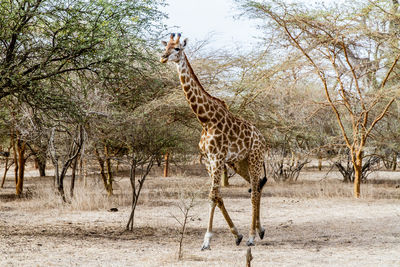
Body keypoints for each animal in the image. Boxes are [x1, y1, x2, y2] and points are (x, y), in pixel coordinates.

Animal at [161, 34, 268, 251]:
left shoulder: (217, 158)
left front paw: (207, 241)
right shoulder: (209, 160)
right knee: (257, 186)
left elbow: (212, 196)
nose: (163, 57)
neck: (205, 119)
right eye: (165, 46)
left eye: (177, 48)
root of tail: (262, 138)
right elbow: (217, 196)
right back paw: (259, 230)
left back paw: (252, 236)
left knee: (254, 191)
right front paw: (236, 234)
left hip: (254, 157)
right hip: (240, 162)